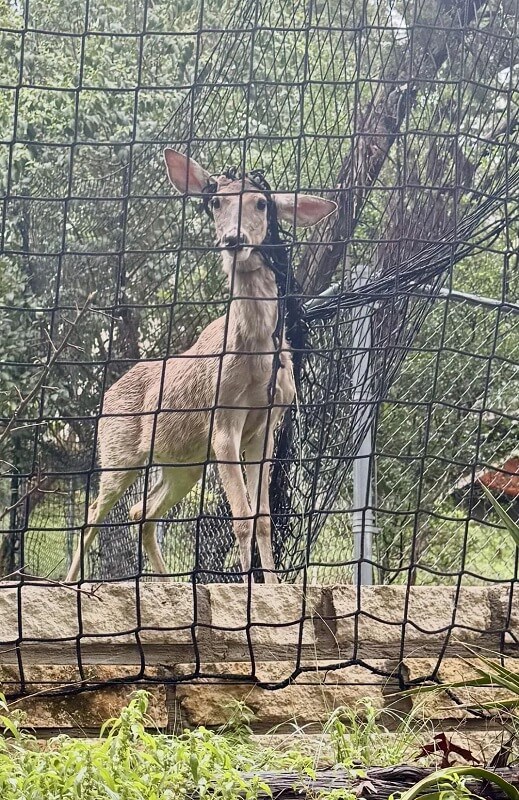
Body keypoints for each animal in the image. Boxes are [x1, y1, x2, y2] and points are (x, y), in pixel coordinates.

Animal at [65, 148, 336, 584]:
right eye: (216, 202)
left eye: (261, 203)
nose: (233, 240)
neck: (256, 363)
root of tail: (106, 398)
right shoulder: (223, 423)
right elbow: (241, 518)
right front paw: (247, 589)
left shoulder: (267, 426)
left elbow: (262, 518)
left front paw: (273, 586)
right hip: (118, 452)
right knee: (94, 512)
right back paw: (70, 583)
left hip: (184, 465)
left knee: (142, 512)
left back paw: (165, 583)